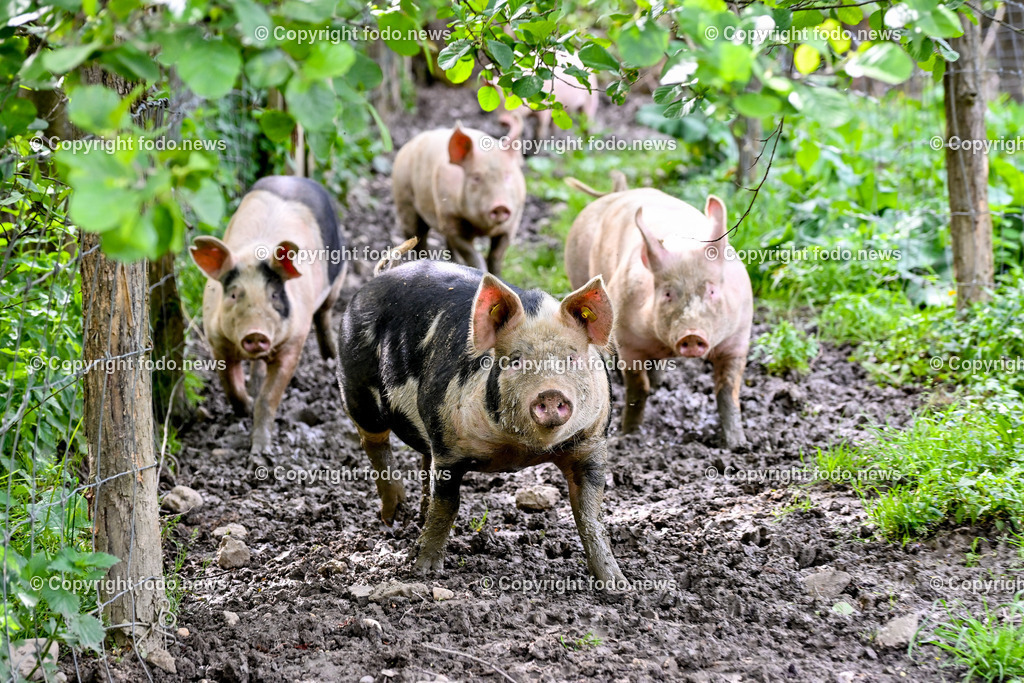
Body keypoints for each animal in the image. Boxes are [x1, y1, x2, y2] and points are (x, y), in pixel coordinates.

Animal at [190, 176, 347, 454]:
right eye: (233, 294)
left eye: (273, 295)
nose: (255, 333)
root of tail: (291, 178)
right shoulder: (216, 340)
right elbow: (230, 385)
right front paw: (245, 407)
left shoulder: (294, 342)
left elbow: (269, 397)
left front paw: (261, 451)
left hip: (338, 276)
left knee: (324, 314)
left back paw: (329, 358)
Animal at [337, 258, 626, 585]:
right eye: (515, 361)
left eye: (572, 359)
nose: (550, 393)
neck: (520, 450)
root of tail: (379, 277)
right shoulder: (449, 446)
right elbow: (447, 506)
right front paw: (424, 571)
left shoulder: (592, 443)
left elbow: (590, 516)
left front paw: (617, 584)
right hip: (356, 388)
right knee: (374, 443)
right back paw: (395, 517)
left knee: (422, 460)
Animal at [391, 121, 526, 276]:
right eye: (476, 177)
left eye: (508, 175)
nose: (500, 206)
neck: (483, 228)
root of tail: (407, 146)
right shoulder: (449, 216)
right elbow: (473, 254)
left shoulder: (512, 224)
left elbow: (496, 257)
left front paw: (497, 276)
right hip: (403, 196)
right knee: (417, 236)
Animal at [565, 176, 752, 448]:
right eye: (667, 294)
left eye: (712, 291)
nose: (692, 335)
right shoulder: (629, 340)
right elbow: (637, 387)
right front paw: (628, 434)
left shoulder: (738, 337)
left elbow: (727, 391)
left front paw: (737, 444)